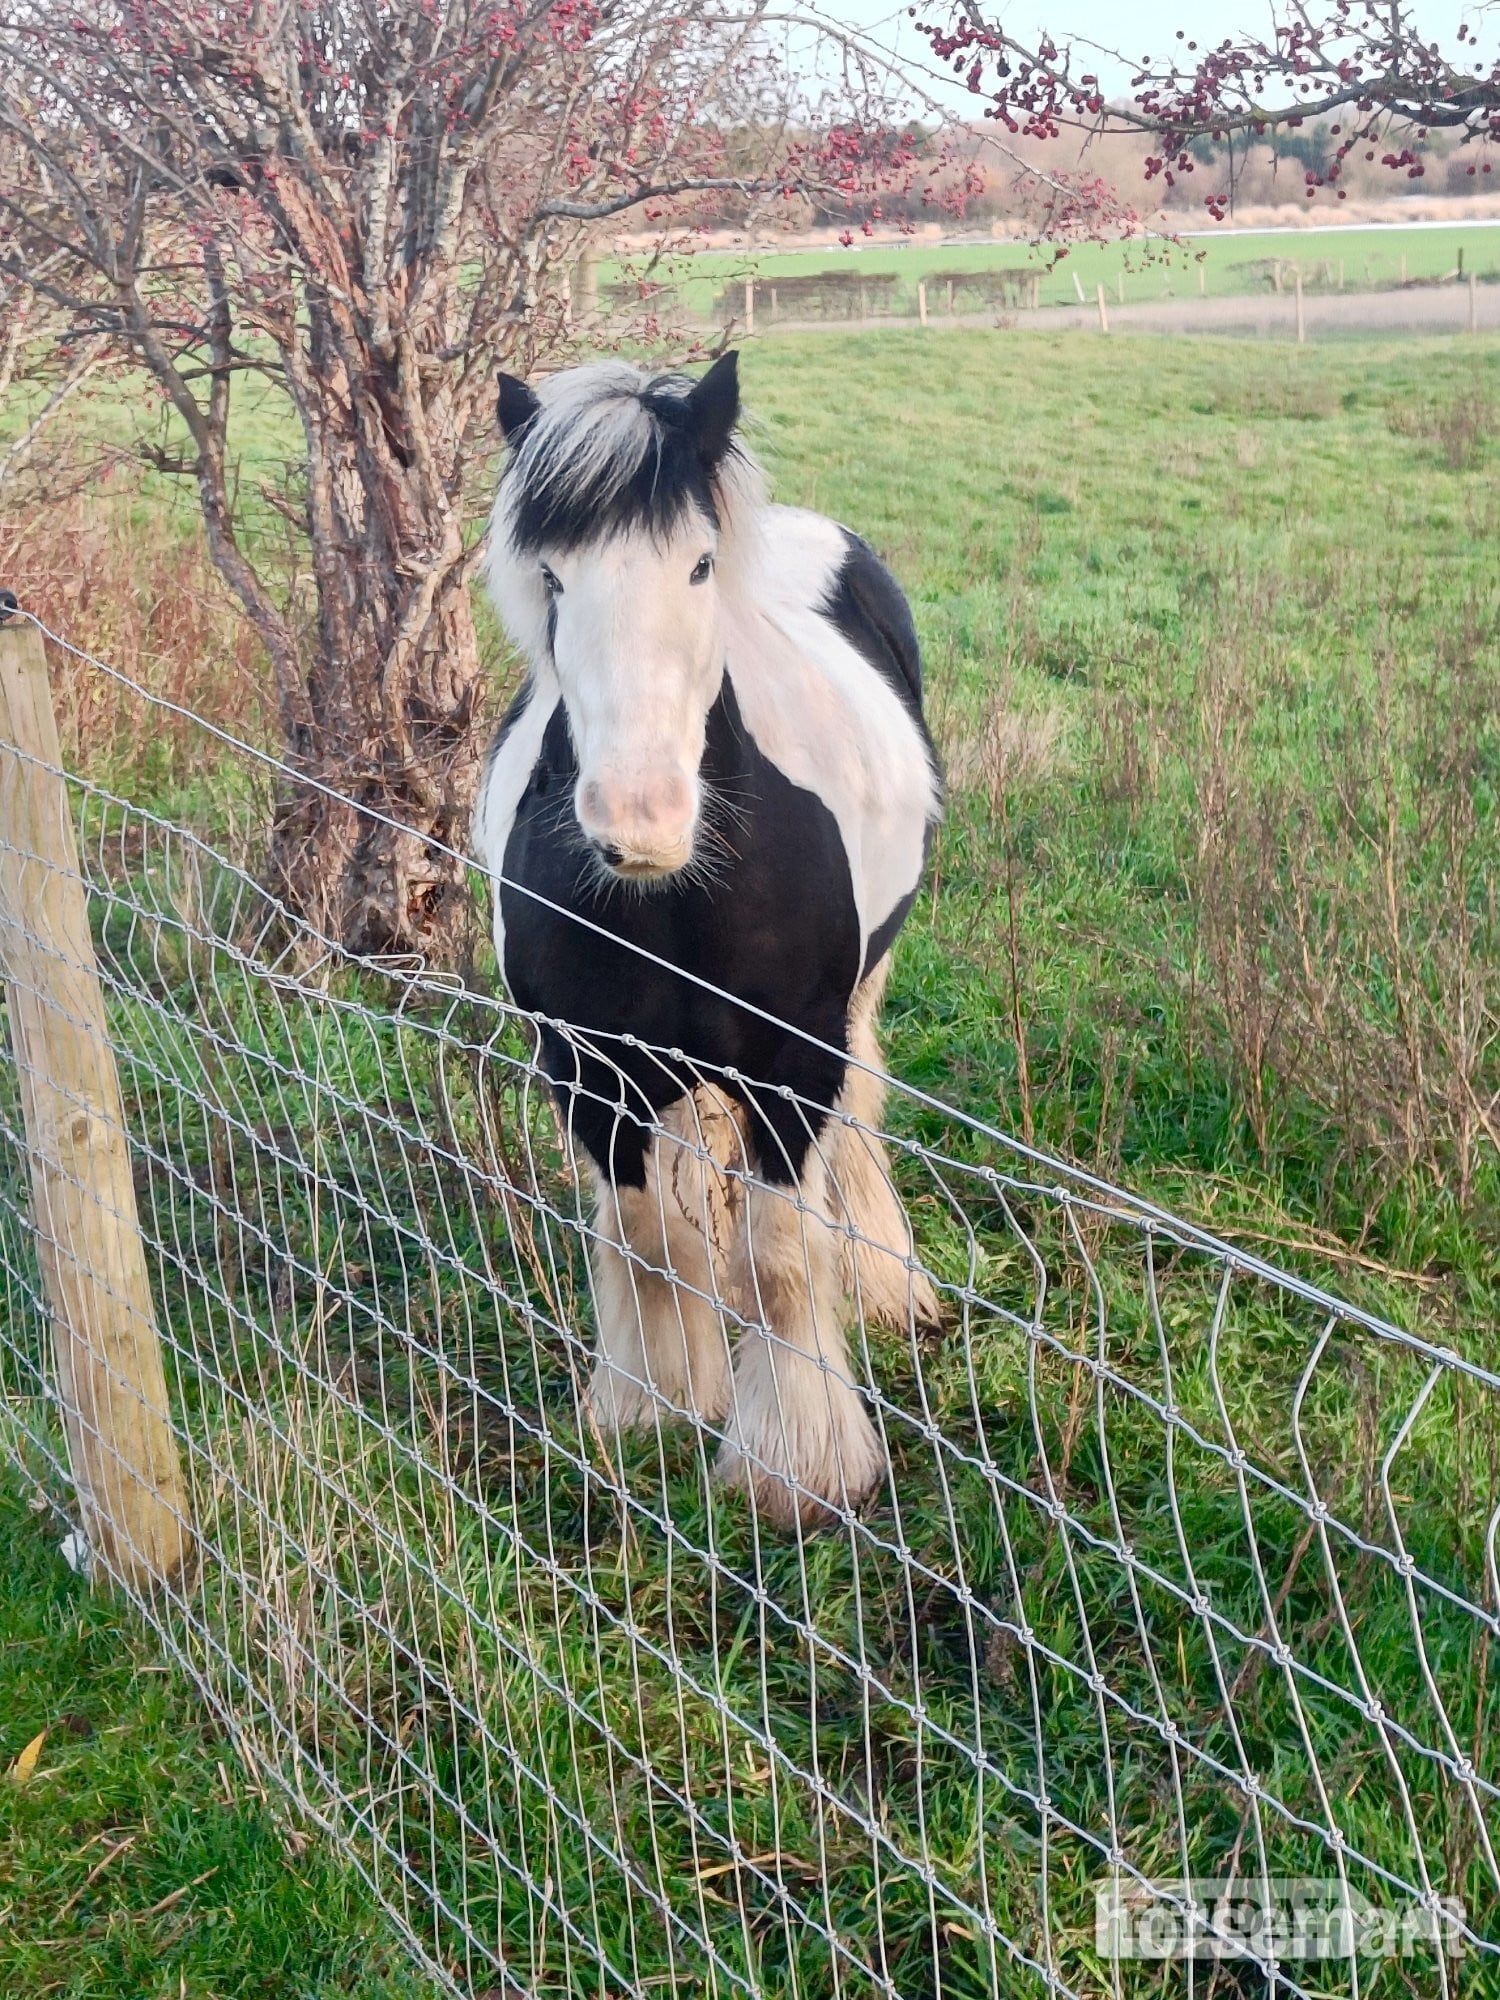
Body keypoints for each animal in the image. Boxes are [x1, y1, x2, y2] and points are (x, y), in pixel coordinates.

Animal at [473, 351, 942, 1530]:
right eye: (552, 577)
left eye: (697, 566)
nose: (639, 821)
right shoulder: (591, 1070)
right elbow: (651, 1236)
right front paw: (655, 1401)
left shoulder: (795, 1063)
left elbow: (781, 1257)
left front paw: (798, 1467)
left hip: (858, 1000)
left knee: (853, 1139)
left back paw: (884, 1286)